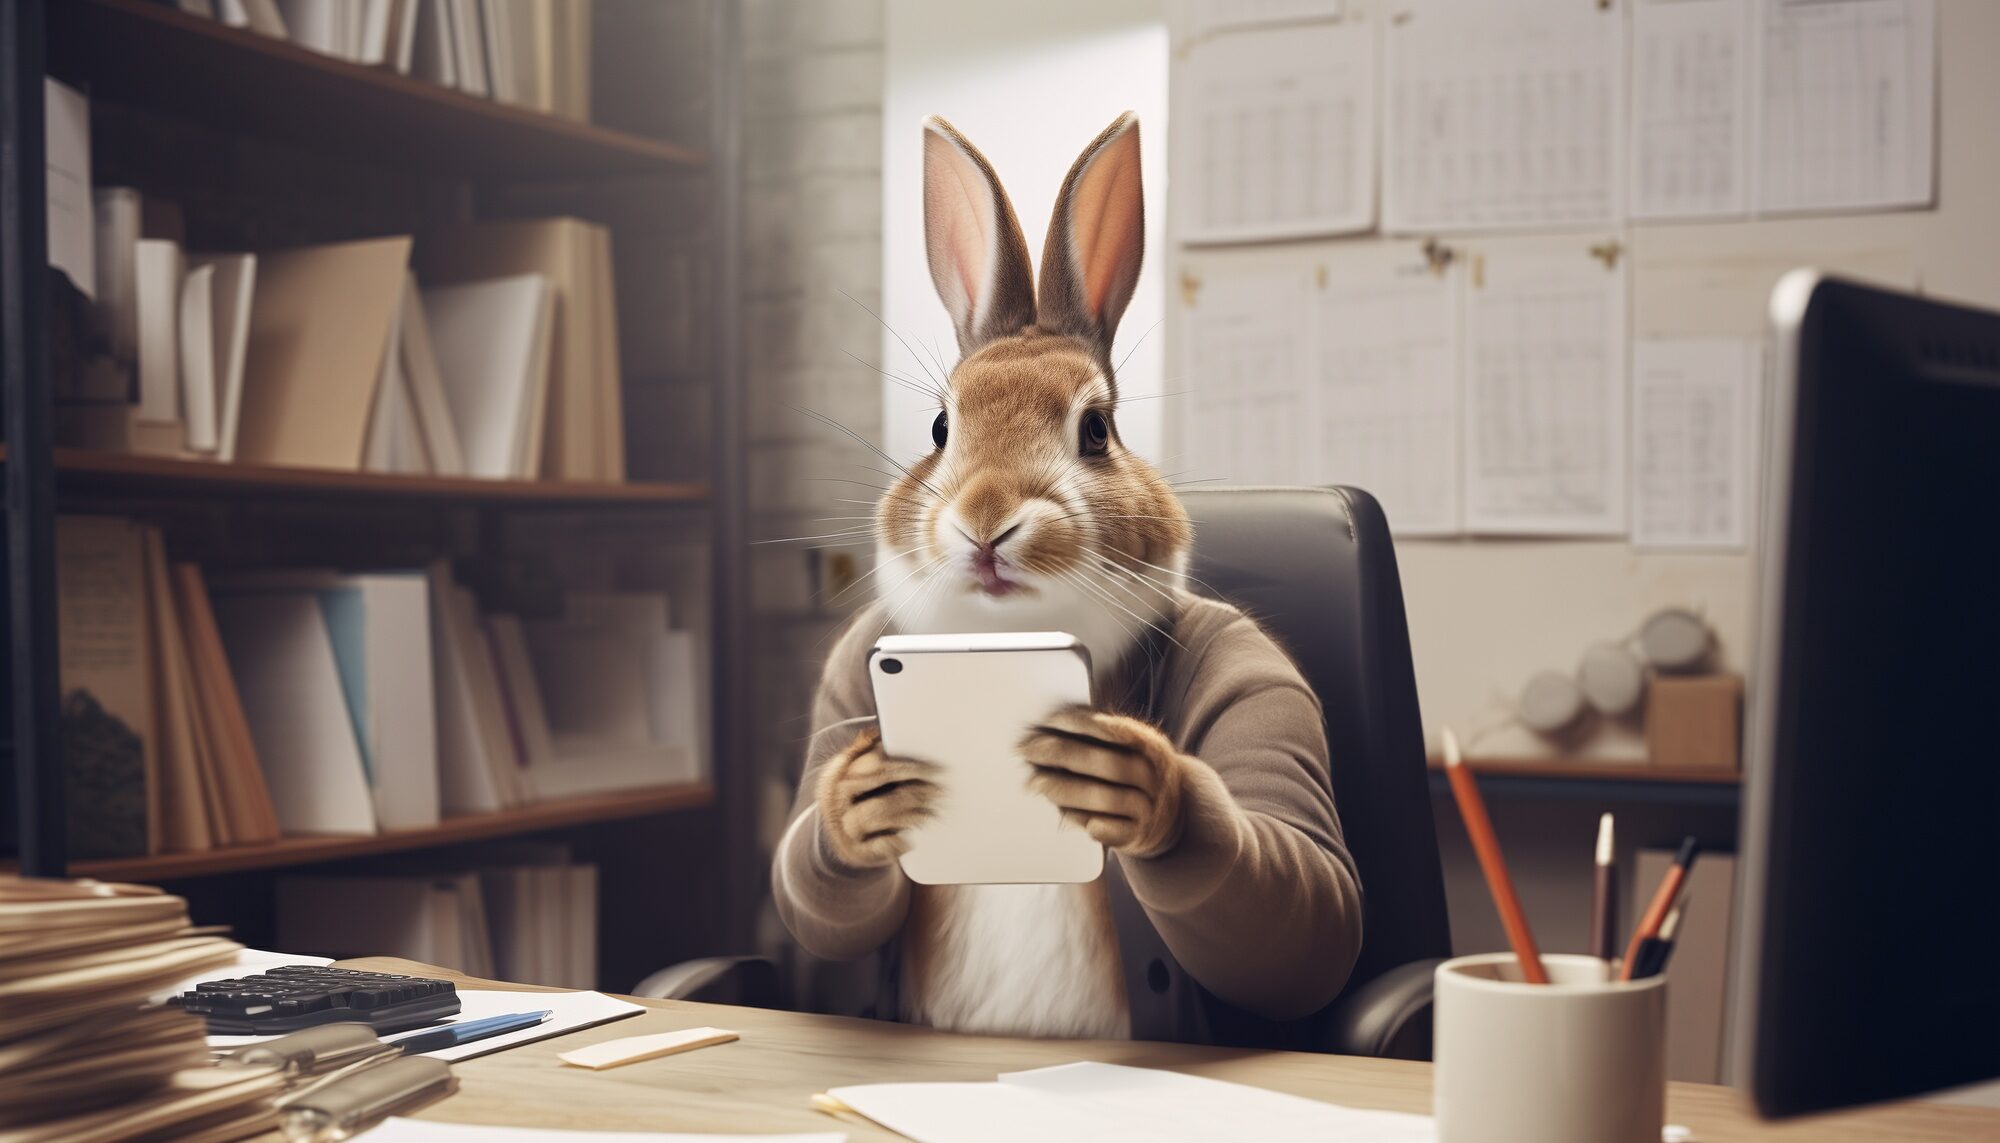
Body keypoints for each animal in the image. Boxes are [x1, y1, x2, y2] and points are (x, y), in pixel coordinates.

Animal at [772, 111, 1368, 1039]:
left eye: (1096, 430)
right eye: (941, 426)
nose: (987, 520)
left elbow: (1312, 912)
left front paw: (1149, 787)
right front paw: (854, 801)